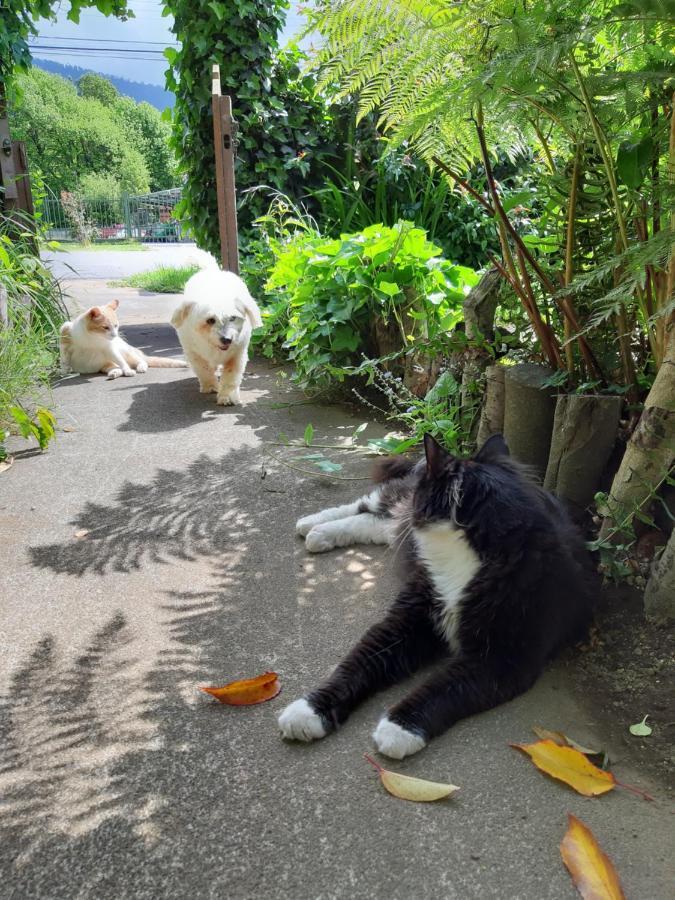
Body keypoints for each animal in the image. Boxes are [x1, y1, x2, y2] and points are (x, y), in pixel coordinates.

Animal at [59, 298, 187, 378]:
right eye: (105, 327)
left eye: (116, 326)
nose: (115, 335)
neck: (92, 338)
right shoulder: (64, 339)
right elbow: (64, 360)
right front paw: (64, 372)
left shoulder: (109, 349)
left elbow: (121, 360)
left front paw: (128, 370)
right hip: (105, 364)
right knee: (115, 367)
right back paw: (114, 373)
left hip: (126, 352)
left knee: (140, 361)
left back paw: (139, 368)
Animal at [170, 268, 262, 406]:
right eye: (210, 320)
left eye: (233, 318)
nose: (227, 339)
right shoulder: (194, 354)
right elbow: (204, 370)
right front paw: (211, 386)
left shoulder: (237, 355)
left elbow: (231, 376)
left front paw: (227, 396)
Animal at [280, 436, 596, 760]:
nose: (415, 506)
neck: (471, 558)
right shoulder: (406, 620)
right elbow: (359, 662)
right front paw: (308, 710)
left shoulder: (503, 658)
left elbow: (445, 688)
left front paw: (399, 728)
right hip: (396, 501)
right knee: (368, 504)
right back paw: (312, 524)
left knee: (374, 522)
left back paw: (320, 533)